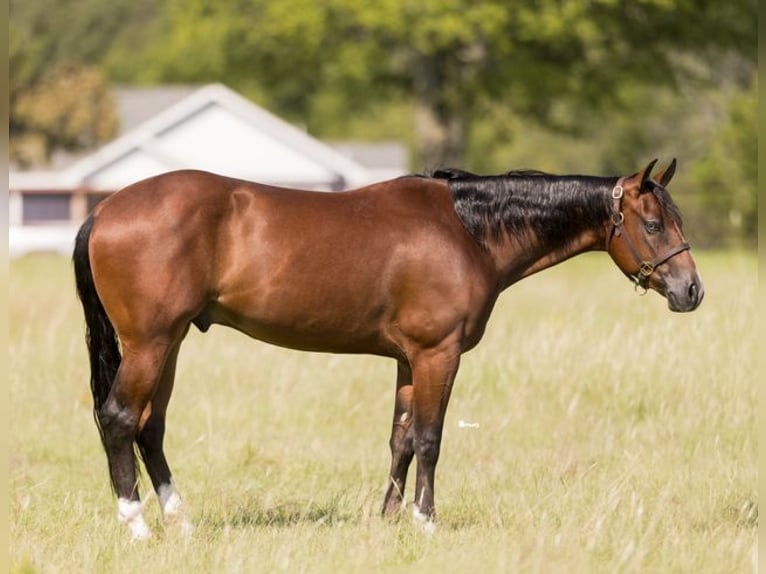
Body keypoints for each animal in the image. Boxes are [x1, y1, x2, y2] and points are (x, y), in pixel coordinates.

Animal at [73, 158, 703, 540]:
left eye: (675, 219)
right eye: (652, 224)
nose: (691, 290)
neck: (468, 231)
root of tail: (104, 209)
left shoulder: (406, 360)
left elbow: (400, 439)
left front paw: (388, 520)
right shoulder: (436, 353)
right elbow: (430, 438)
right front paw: (425, 521)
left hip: (172, 342)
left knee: (150, 426)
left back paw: (179, 520)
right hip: (151, 343)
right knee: (120, 418)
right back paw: (136, 525)